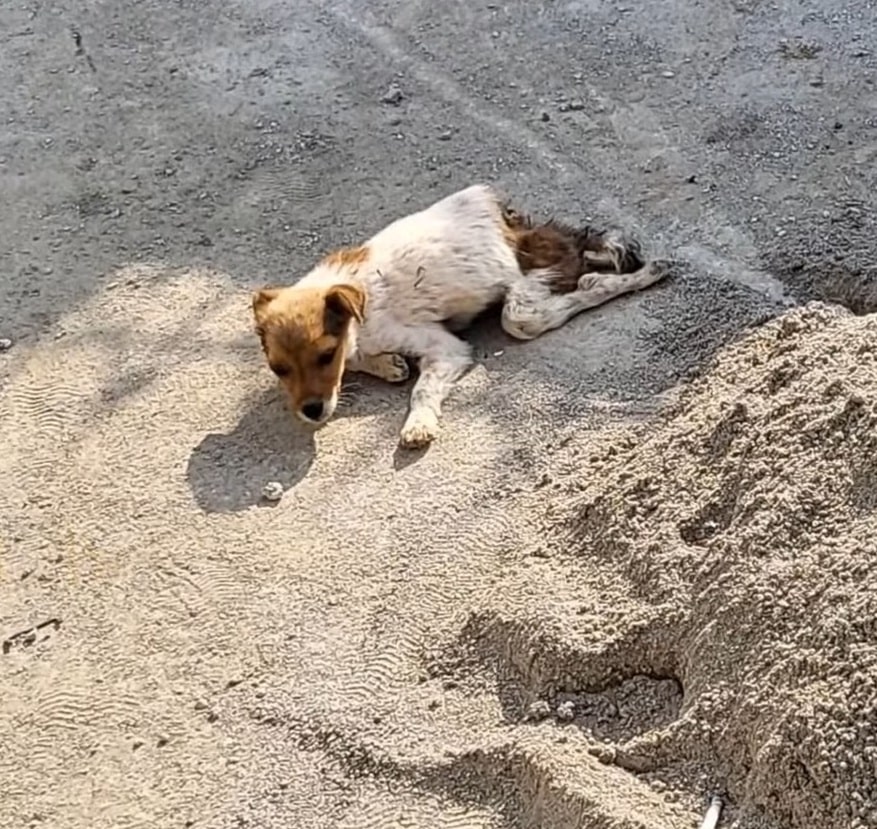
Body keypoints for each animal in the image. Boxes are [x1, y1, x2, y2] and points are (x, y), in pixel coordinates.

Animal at [253, 185, 672, 450]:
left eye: (324, 356)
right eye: (279, 369)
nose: (310, 412)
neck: (359, 314)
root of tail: (512, 218)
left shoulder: (444, 348)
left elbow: (422, 389)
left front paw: (418, 424)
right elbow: (364, 363)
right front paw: (387, 365)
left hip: (530, 290)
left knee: (568, 293)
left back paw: (640, 274)